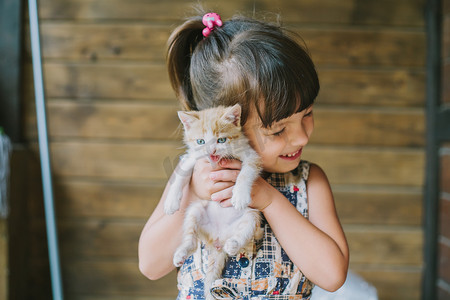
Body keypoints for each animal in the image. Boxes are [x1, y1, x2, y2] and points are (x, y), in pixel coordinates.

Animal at [163, 104, 262, 298]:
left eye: (221, 140)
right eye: (201, 142)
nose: (211, 152)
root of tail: (218, 241)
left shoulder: (250, 154)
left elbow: (247, 171)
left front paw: (240, 194)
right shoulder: (192, 157)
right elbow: (182, 173)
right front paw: (171, 200)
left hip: (251, 217)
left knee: (245, 229)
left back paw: (233, 244)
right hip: (196, 210)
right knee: (192, 241)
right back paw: (181, 253)